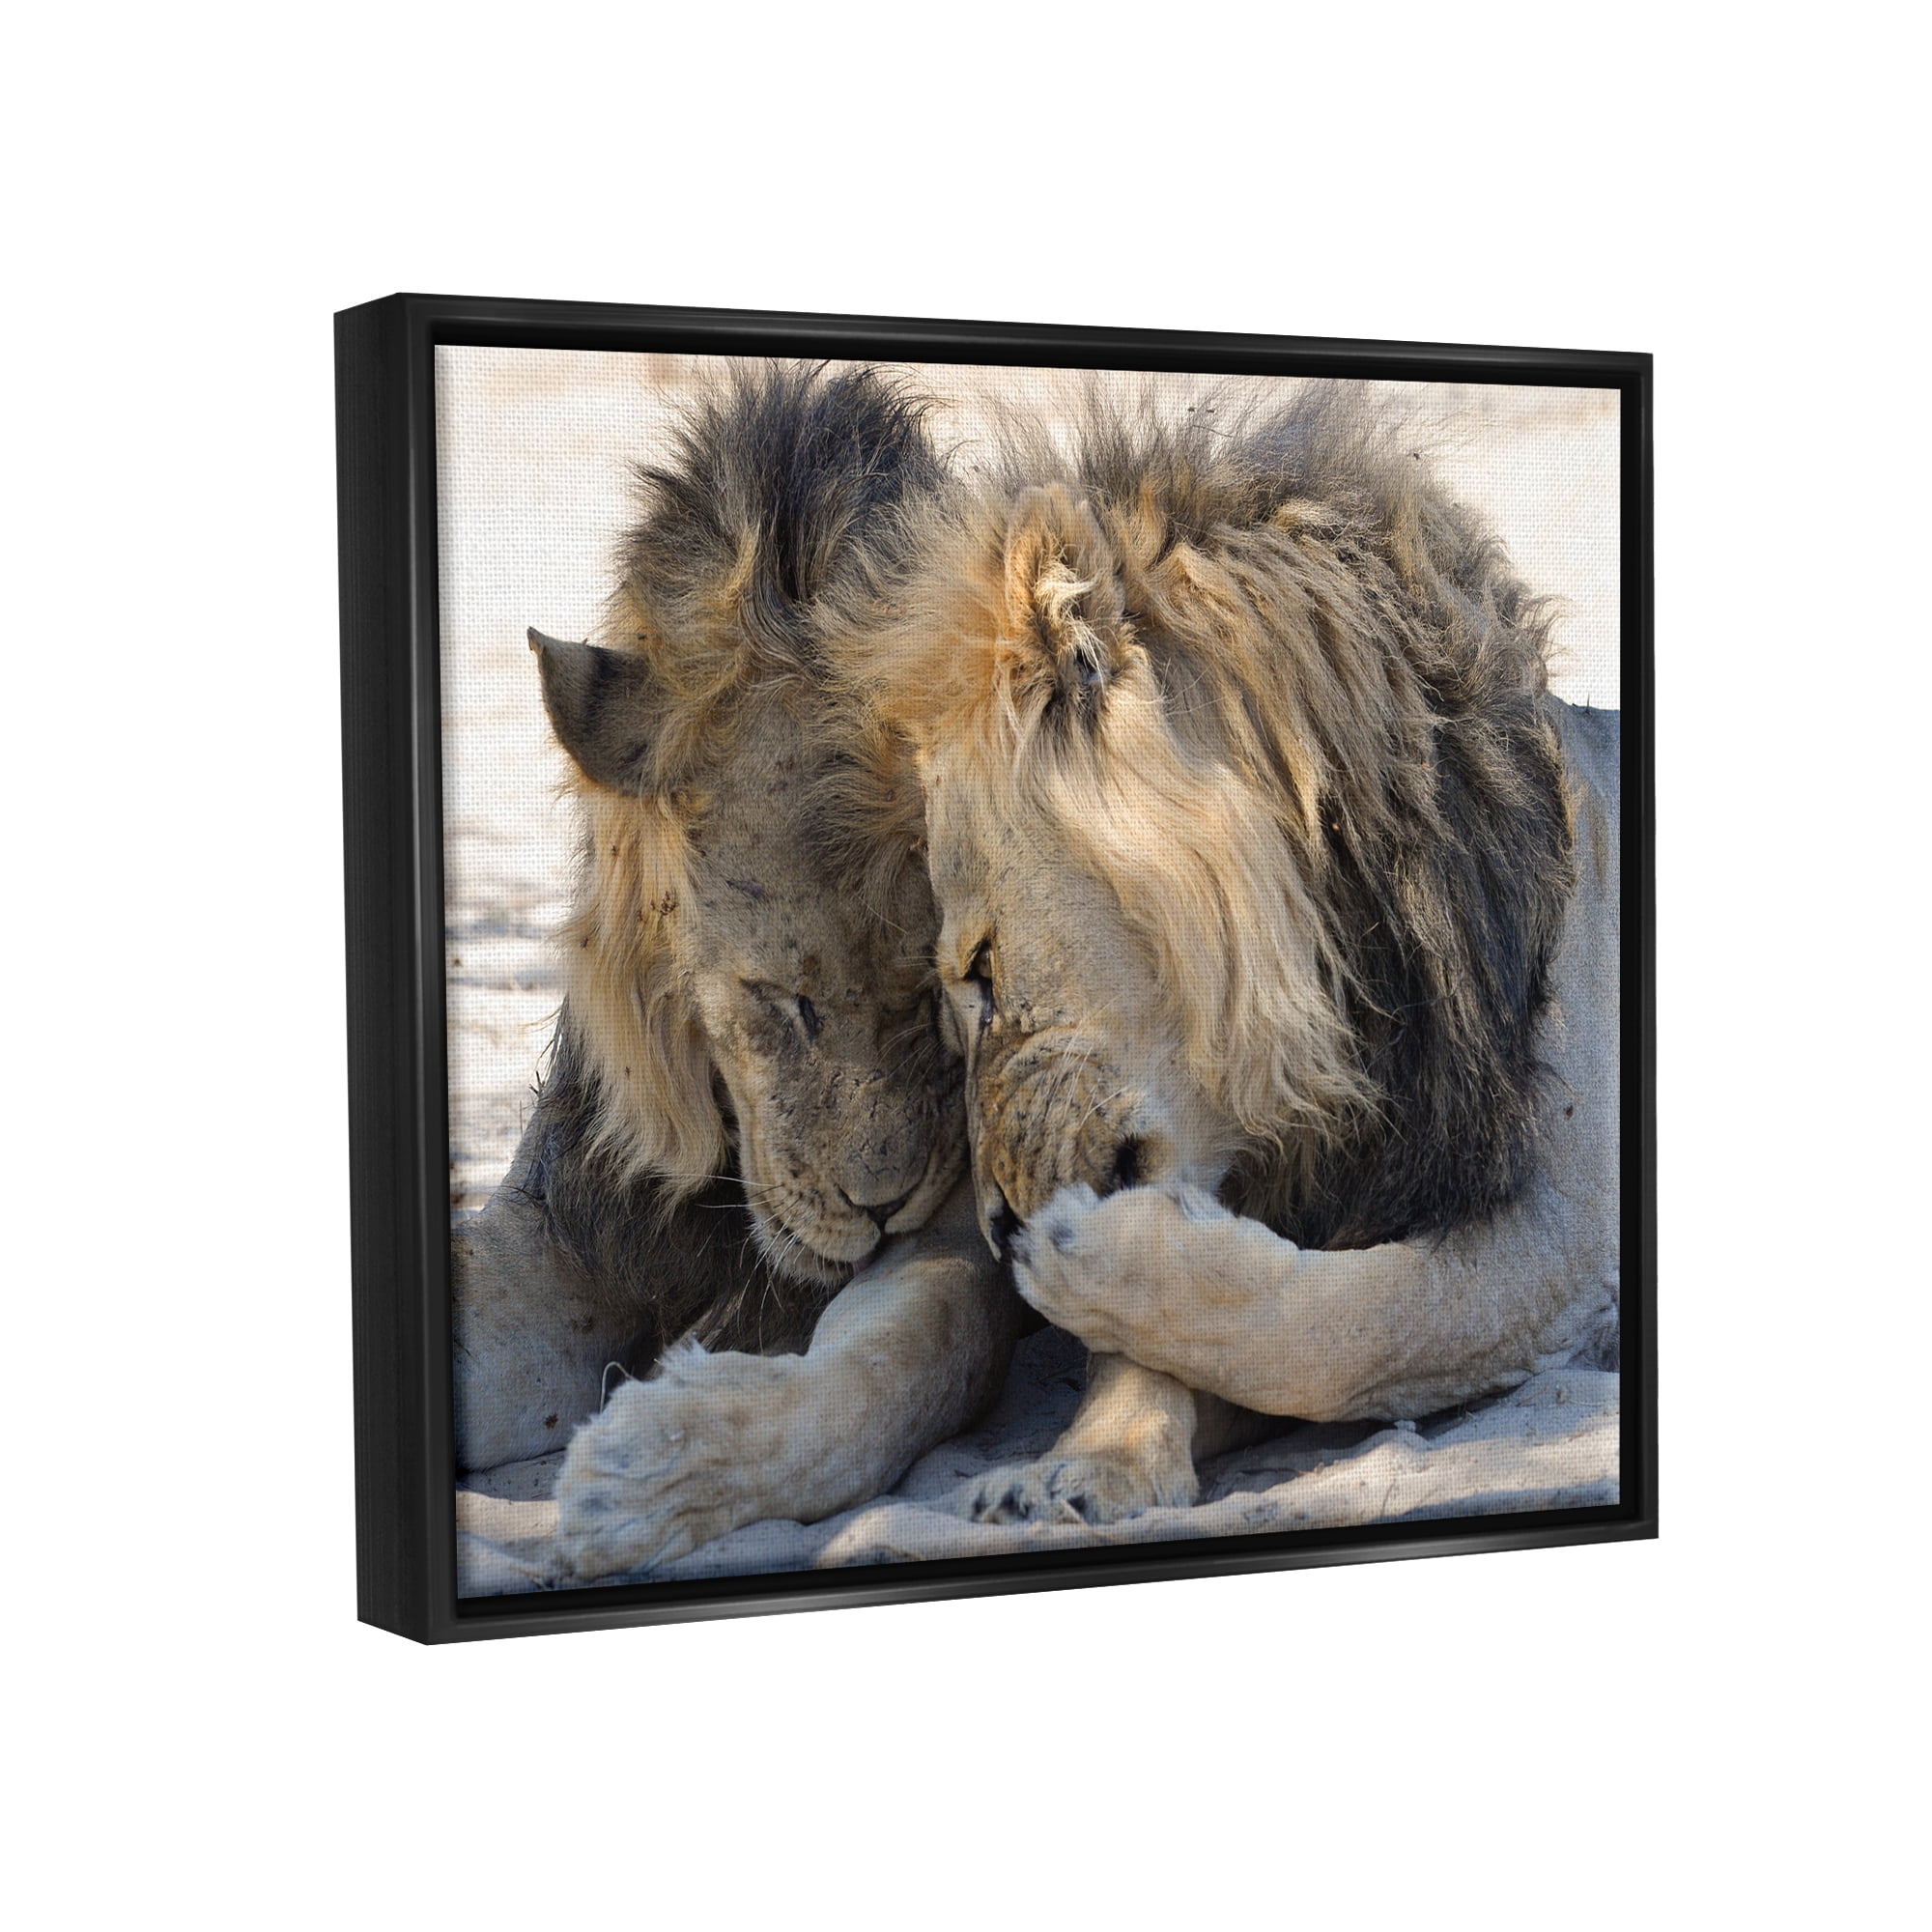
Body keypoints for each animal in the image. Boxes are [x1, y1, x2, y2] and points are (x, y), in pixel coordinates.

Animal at [452, 363, 1018, 1578]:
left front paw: (655, 1470)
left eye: (936, 999)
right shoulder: (567, 1221)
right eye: (783, 1002)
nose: (880, 1207)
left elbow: (897, 1367)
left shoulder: (958, 1236)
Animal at [833, 382, 1621, 1526]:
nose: (995, 1229)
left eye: (981, 968)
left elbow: (1352, 1324)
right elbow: (1195, 1347)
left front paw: (1083, 1263)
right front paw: (1093, 1459)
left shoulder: (1570, 1230)